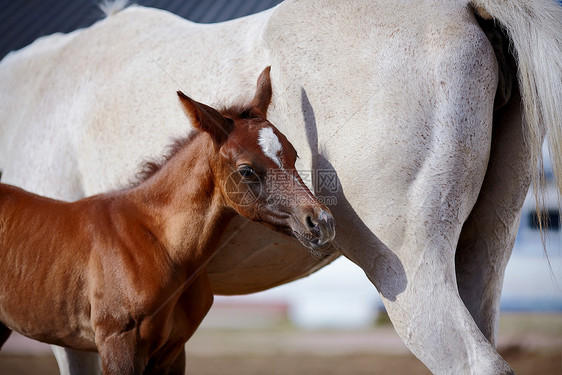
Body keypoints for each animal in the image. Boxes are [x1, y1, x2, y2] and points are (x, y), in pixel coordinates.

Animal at [0, 68, 332, 375]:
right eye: (247, 170)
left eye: (293, 154)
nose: (321, 222)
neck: (160, 243)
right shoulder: (116, 343)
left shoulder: (173, 351)